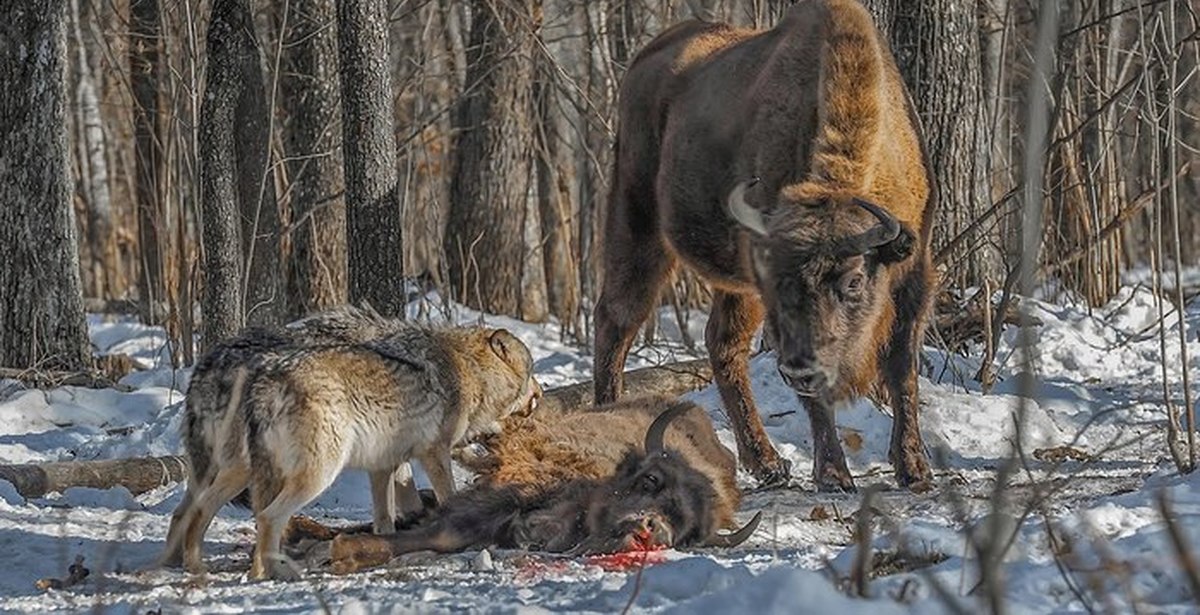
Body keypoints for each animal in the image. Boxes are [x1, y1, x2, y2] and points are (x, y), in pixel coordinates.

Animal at [328, 398, 758, 571]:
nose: (652, 530)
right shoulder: (492, 502)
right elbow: (440, 534)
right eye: (652, 479)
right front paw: (346, 549)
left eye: (687, 534)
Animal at [595, 0, 940, 492]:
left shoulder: (915, 270)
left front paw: (914, 468)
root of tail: (647, 58)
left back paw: (768, 464)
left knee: (721, 343)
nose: (798, 368)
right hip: (637, 224)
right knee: (616, 321)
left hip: (729, 282)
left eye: (854, 282)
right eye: (781, 283)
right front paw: (833, 474)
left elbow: (902, 368)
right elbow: (821, 395)